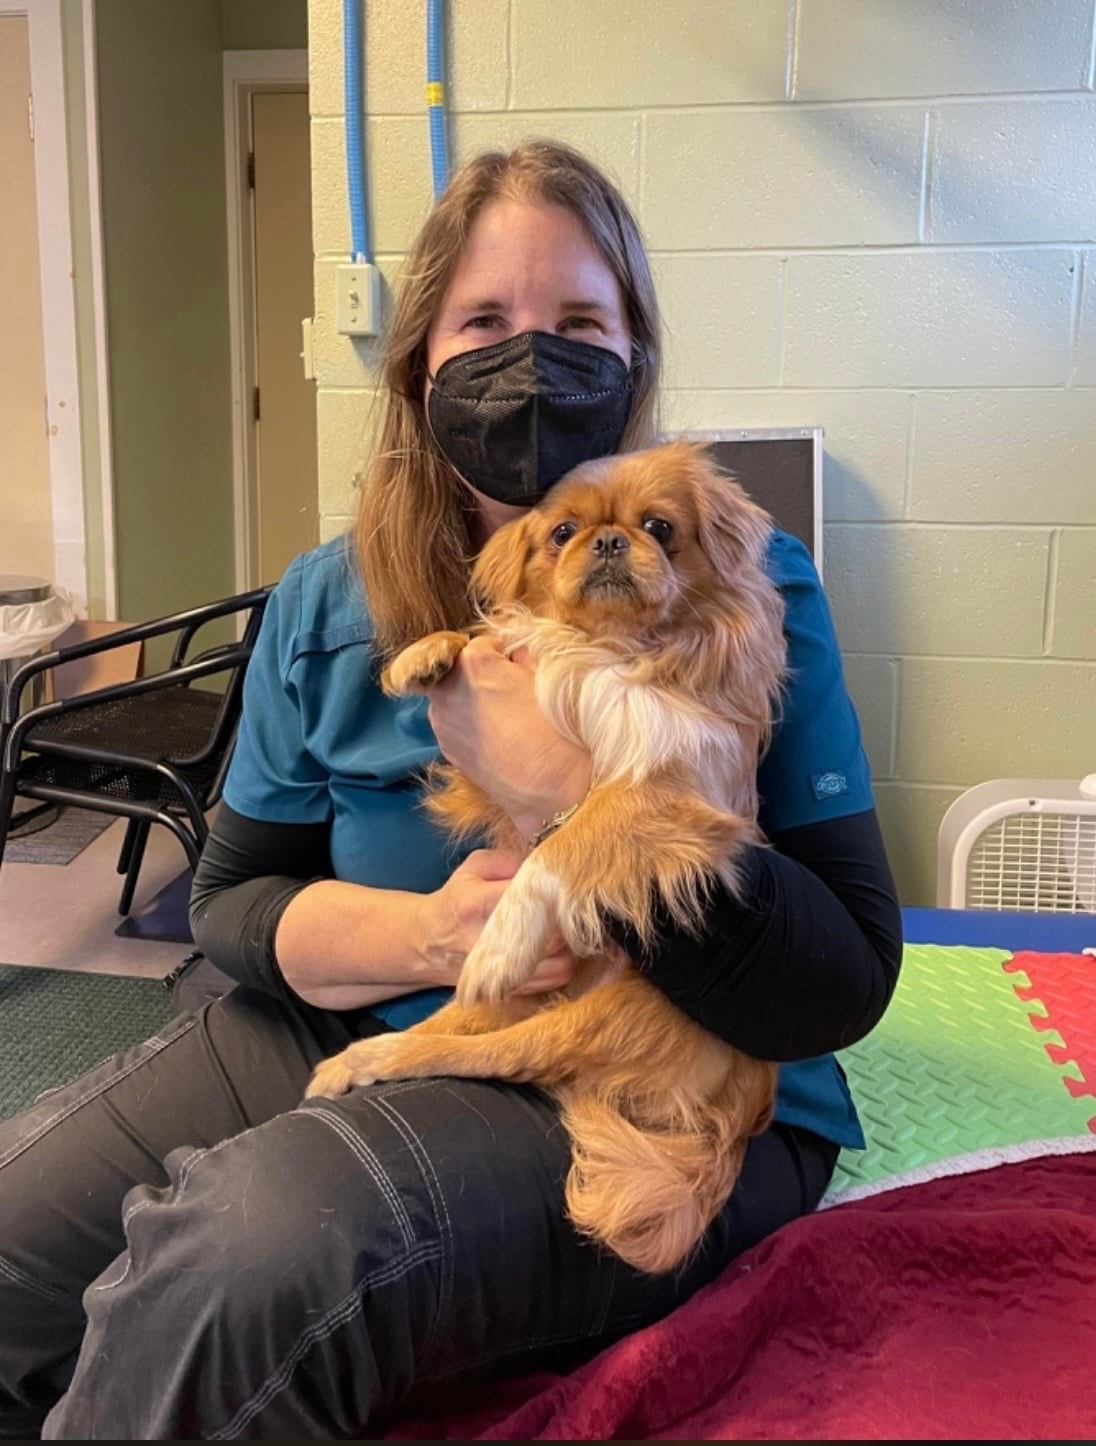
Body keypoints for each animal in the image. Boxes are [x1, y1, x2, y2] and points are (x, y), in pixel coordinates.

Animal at [309, 442, 792, 1278]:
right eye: (563, 531)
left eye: (661, 529)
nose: (608, 541)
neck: (606, 647)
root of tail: (740, 1116)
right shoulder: (495, 781)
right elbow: (484, 640)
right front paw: (427, 654)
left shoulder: (670, 797)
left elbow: (562, 846)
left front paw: (503, 941)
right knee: (447, 1028)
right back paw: (357, 1058)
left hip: (597, 1020)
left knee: (489, 1056)